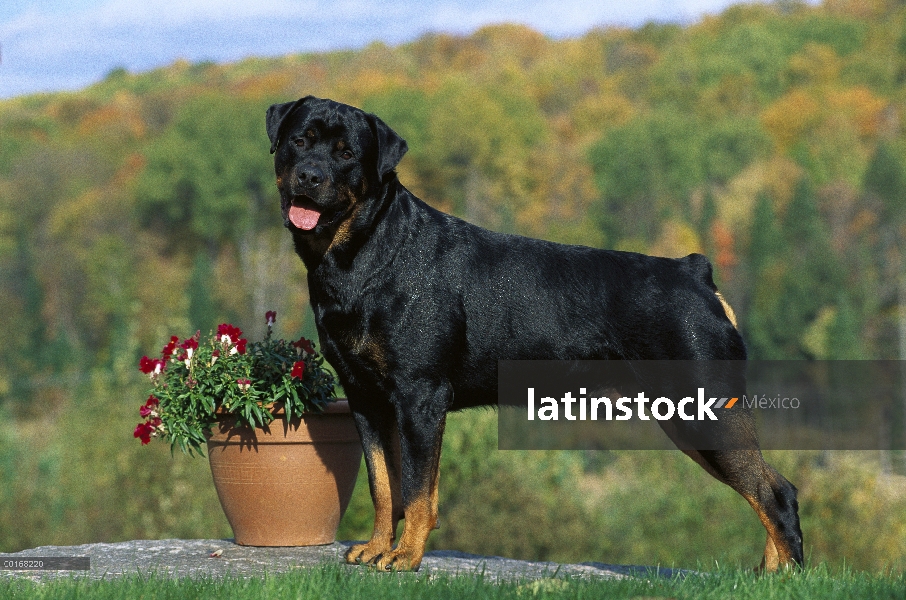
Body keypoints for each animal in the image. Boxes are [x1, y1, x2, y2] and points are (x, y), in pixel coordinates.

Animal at [264, 95, 800, 572]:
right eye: (298, 141)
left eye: (346, 154)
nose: (309, 175)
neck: (366, 249)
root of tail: (695, 273)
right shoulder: (365, 397)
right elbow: (383, 484)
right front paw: (377, 548)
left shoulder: (419, 396)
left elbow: (417, 491)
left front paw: (405, 558)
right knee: (770, 486)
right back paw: (770, 573)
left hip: (705, 412)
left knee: (773, 493)